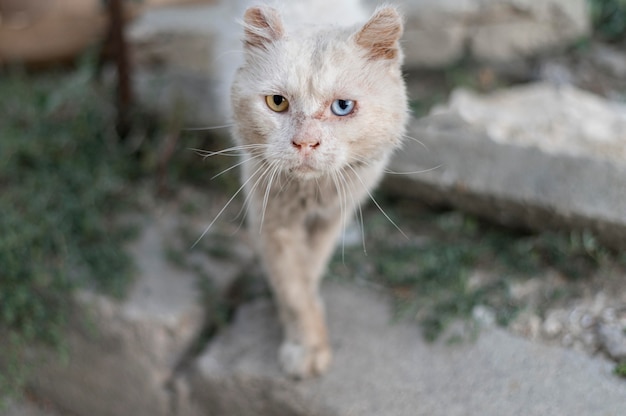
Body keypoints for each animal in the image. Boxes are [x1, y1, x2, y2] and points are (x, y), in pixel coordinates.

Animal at [222, 0, 408, 376]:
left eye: (342, 107)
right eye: (277, 102)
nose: (305, 143)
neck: (309, 193)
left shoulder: (332, 216)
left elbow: (308, 273)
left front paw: (307, 327)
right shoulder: (272, 221)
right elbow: (293, 288)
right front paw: (305, 345)